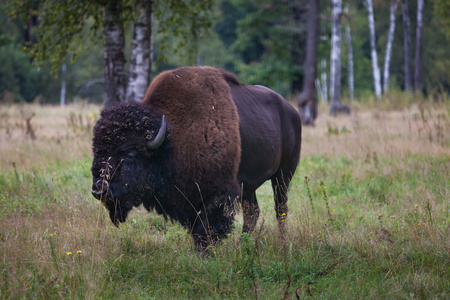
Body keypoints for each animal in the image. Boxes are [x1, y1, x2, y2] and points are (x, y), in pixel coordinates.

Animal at [91, 66, 302, 251]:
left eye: (129, 153)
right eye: (97, 150)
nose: (99, 190)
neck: (172, 138)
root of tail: (292, 111)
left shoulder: (217, 195)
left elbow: (206, 229)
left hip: (283, 175)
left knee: (280, 209)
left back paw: (282, 243)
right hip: (248, 185)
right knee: (252, 213)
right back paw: (244, 246)